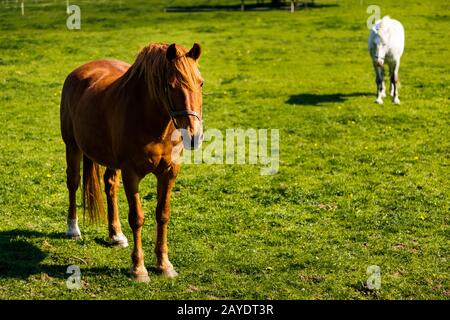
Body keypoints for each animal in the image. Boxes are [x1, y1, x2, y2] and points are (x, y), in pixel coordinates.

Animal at [59, 43, 202, 282]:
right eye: (171, 86)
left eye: (200, 83)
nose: (194, 136)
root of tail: (80, 71)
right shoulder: (131, 173)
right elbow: (137, 218)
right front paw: (139, 269)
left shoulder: (169, 172)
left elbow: (162, 215)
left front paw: (164, 265)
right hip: (72, 146)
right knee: (73, 182)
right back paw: (73, 229)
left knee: (110, 186)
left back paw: (116, 234)